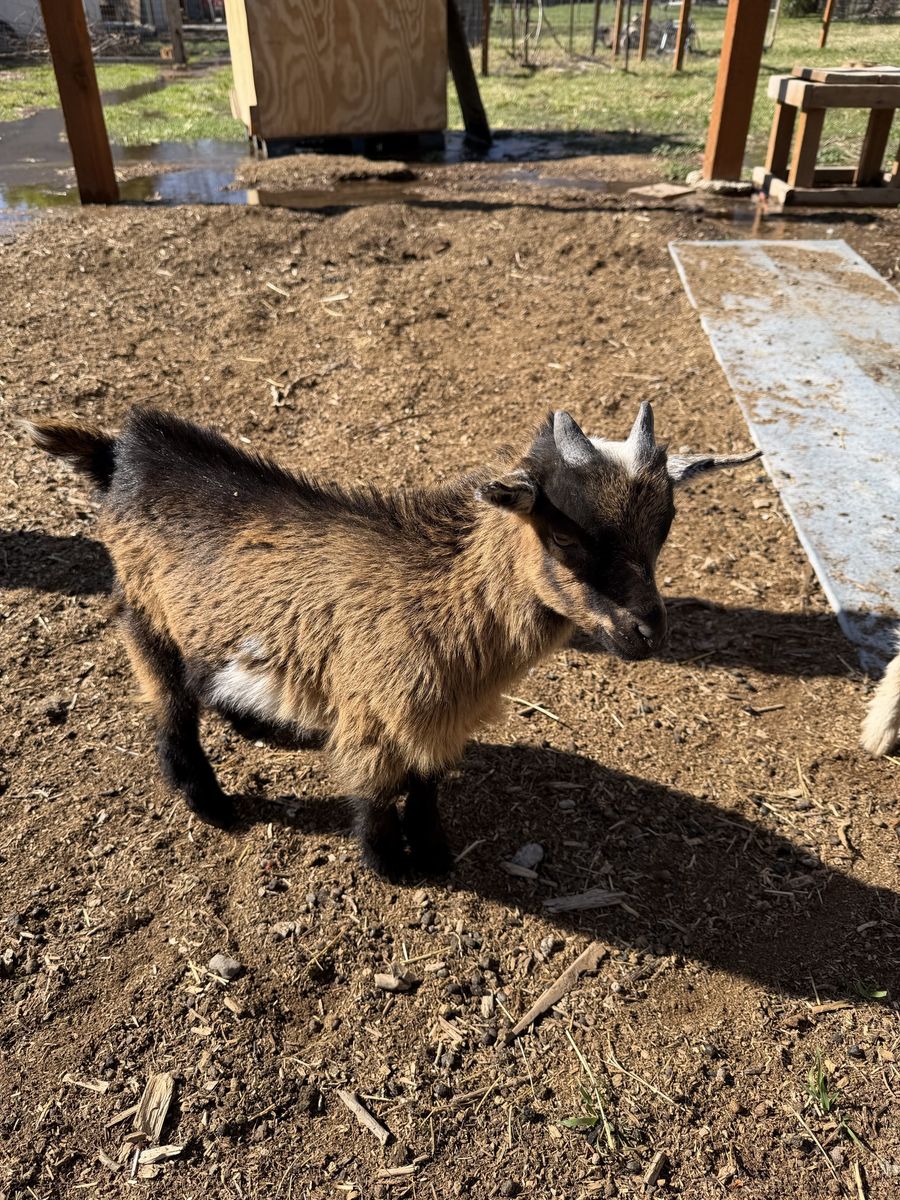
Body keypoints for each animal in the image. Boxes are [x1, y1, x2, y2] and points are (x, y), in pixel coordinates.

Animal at [25, 404, 760, 878]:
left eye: (665, 525)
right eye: (566, 535)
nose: (647, 631)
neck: (444, 590)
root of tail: (122, 452)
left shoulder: (443, 713)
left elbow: (427, 780)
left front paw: (432, 850)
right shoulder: (375, 707)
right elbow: (376, 788)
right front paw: (391, 866)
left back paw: (256, 724)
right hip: (144, 612)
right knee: (170, 705)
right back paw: (209, 803)